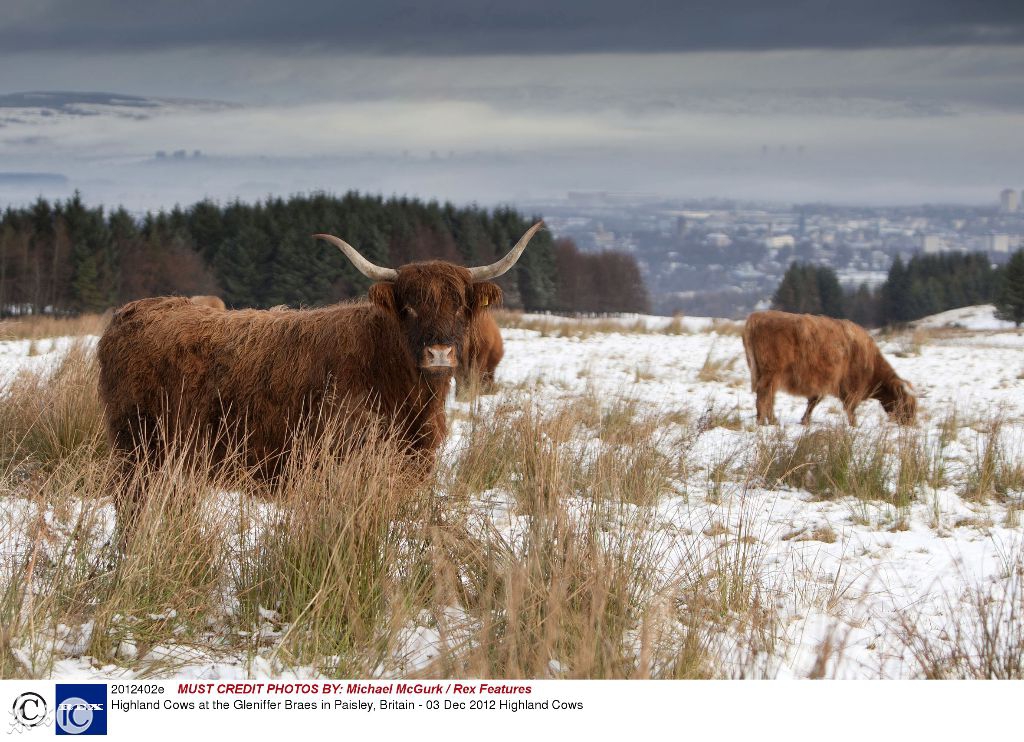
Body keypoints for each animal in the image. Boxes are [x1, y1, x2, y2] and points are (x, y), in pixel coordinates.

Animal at [741, 309, 917, 425]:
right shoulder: (851, 388)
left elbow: (813, 402)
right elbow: (850, 408)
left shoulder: (822, 384)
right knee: (764, 396)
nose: (911, 424)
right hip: (771, 373)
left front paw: (805, 421)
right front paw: (854, 425)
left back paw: (770, 421)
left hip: (766, 374)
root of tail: (757, 317)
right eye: (908, 404)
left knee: (768, 397)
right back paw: (764, 422)